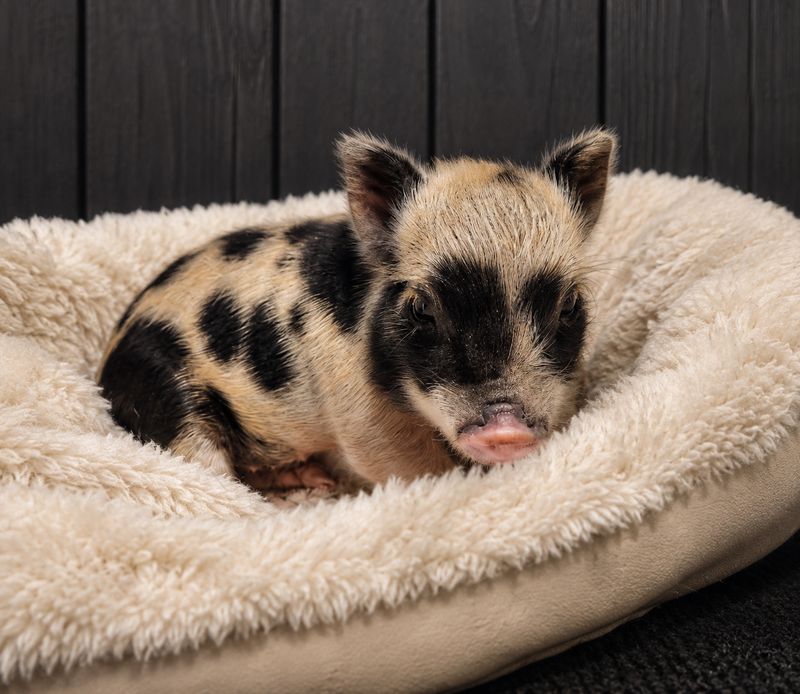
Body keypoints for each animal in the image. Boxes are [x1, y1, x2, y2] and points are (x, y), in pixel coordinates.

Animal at [98, 128, 616, 494]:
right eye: (422, 308)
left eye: (570, 304)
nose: (506, 428)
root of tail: (107, 358)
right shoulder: (357, 408)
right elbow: (404, 465)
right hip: (167, 394)